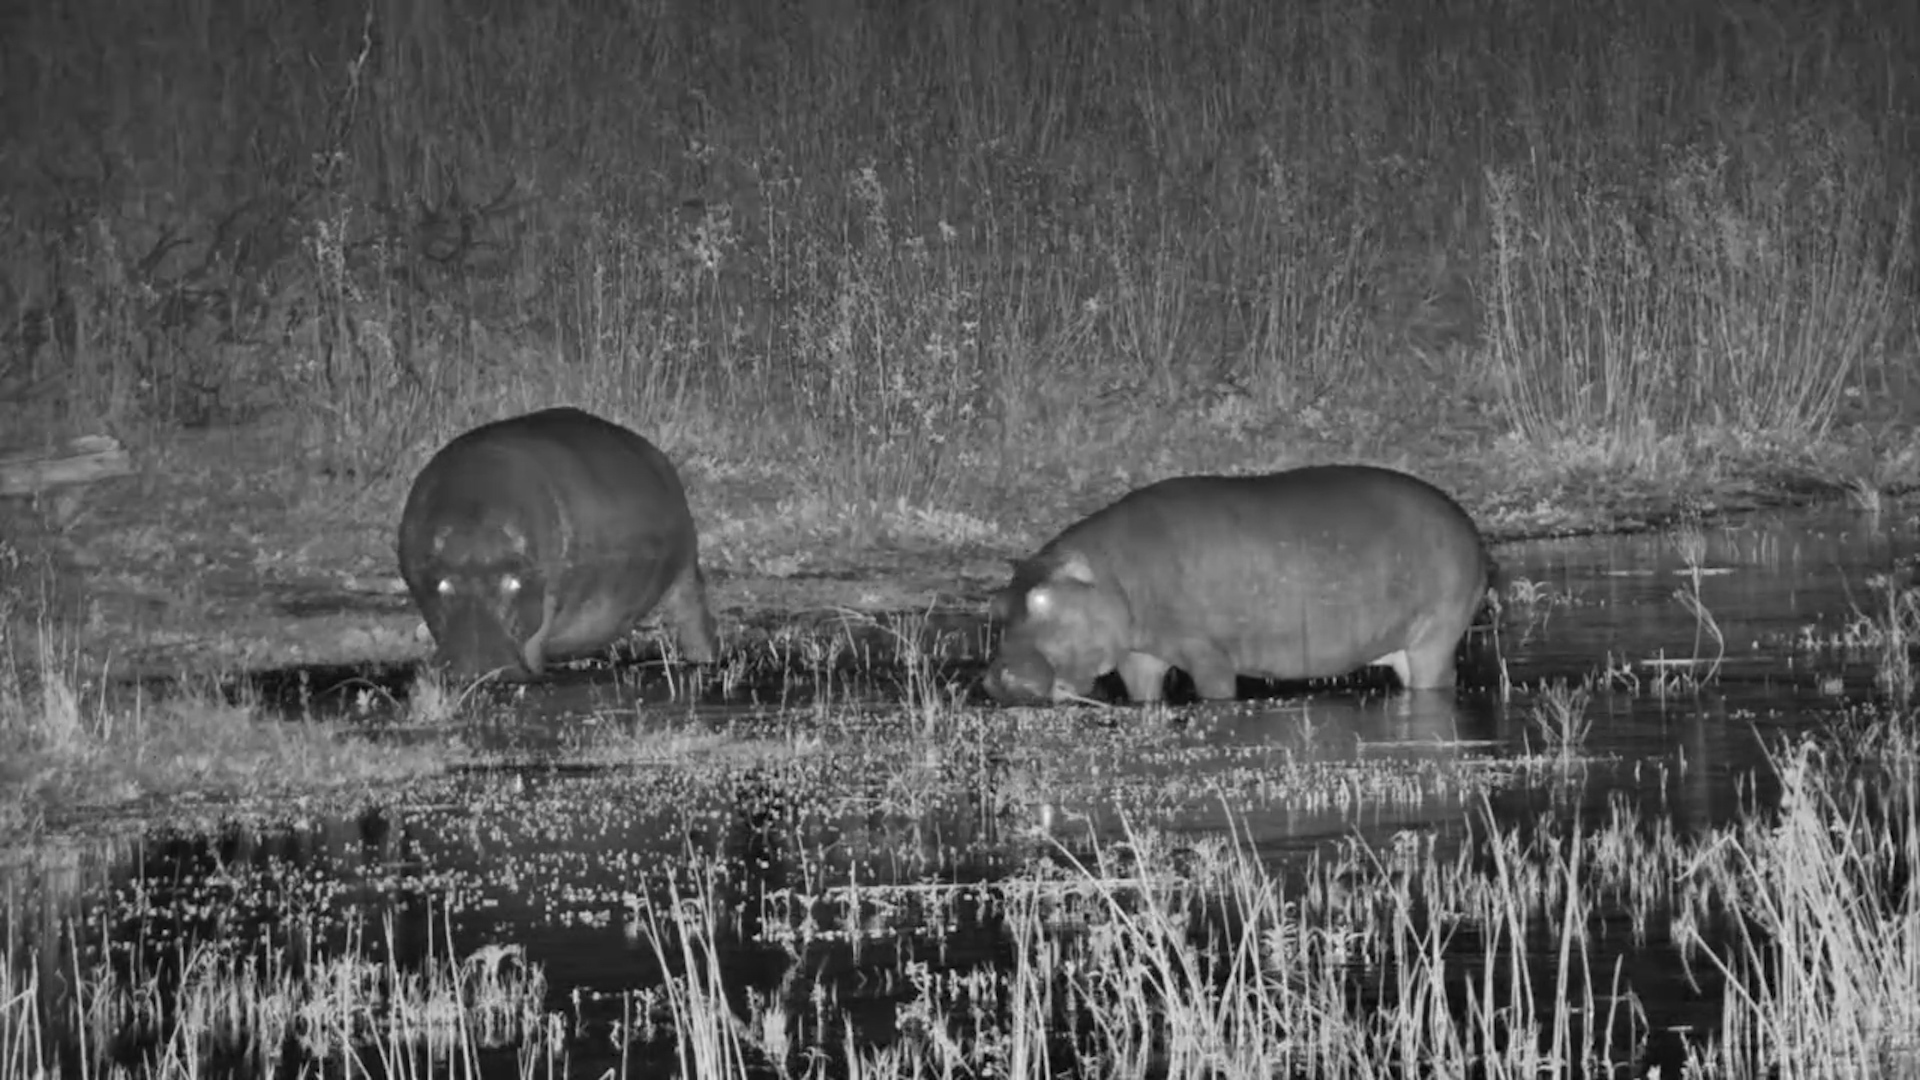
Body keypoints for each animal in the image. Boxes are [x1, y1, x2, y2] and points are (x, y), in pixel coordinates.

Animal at [396, 406, 720, 680]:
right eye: (442, 585)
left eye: (512, 583)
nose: (478, 670)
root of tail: (657, 455)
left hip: (685, 570)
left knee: (692, 617)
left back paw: (706, 660)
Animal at [983, 465, 1490, 704]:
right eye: (996, 605)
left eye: (1043, 598)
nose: (996, 676)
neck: (1109, 576)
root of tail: (1470, 529)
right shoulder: (1139, 656)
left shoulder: (1208, 654)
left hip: (1434, 638)